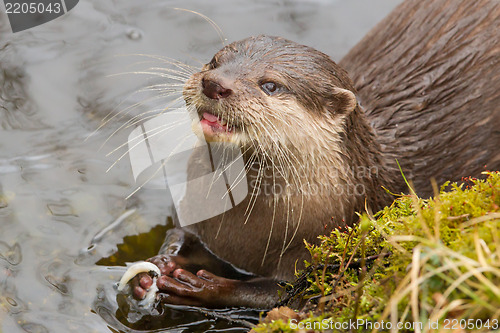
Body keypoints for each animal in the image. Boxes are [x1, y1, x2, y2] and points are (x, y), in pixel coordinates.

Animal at [130, 0, 500, 308]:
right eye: (215, 61)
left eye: (271, 85)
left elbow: (280, 293)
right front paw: (163, 261)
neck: (244, 231)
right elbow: (181, 233)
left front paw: (204, 286)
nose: (214, 84)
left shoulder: (321, 241)